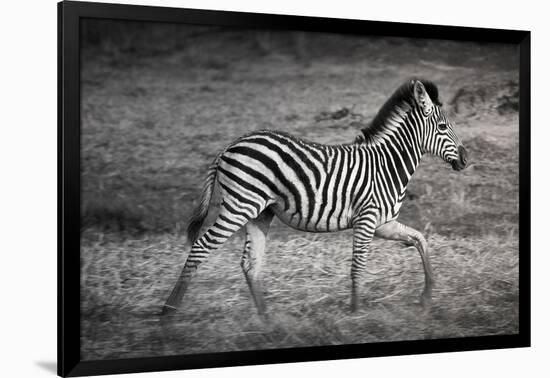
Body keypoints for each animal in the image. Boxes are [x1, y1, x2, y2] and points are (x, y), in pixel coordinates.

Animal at [163, 79, 470, 316]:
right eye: (443, 128)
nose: (466, 159)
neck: (387, 165)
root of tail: (228, 147)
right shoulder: (367, 219)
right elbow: (358, 265)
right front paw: (356, 313)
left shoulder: (384, 223)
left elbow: (420, 239)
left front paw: (427, 297)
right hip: (240, 206)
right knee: (201, 247)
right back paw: (169, 311)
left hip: (259, 212)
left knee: (250, 263)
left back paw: (266, 318)